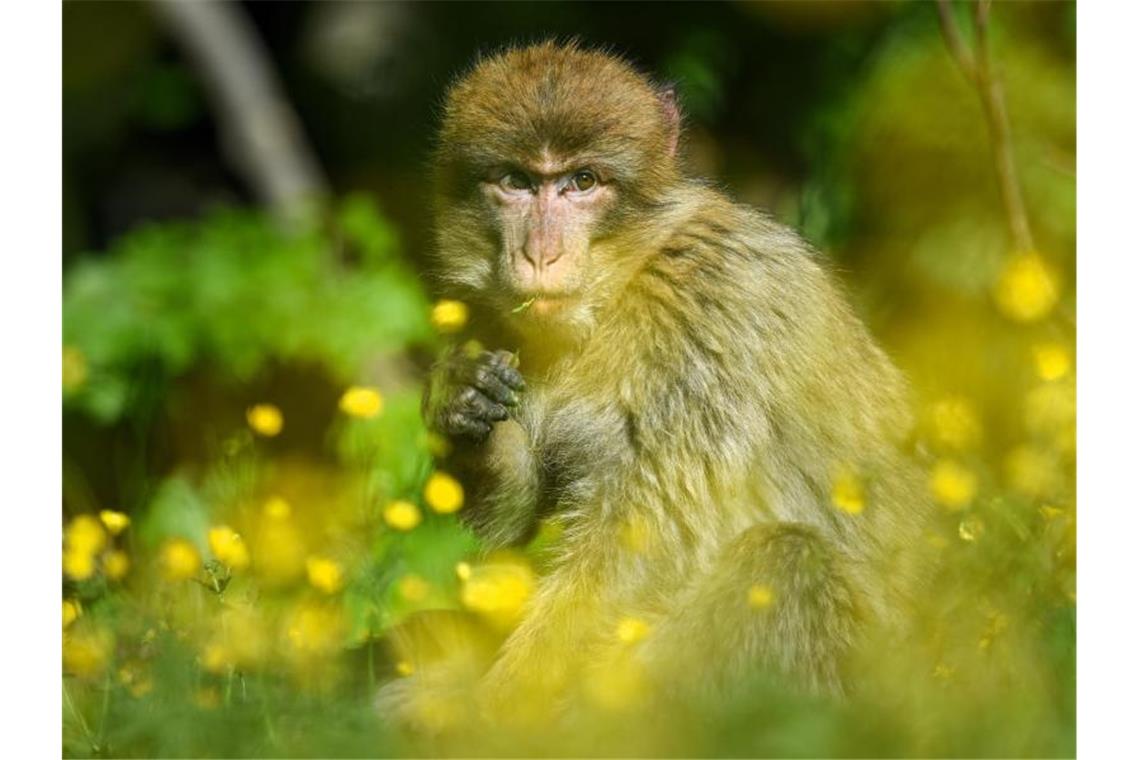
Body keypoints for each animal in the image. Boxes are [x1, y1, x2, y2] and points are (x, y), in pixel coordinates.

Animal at [414, 40, 930, 724]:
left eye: (583, 181)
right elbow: (504, 541)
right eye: (517, 181)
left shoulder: (712, 313)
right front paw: (464, 403)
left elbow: (645, 542)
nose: (540, 254)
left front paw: (504, 712)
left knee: (787, 562)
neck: (621, 290)